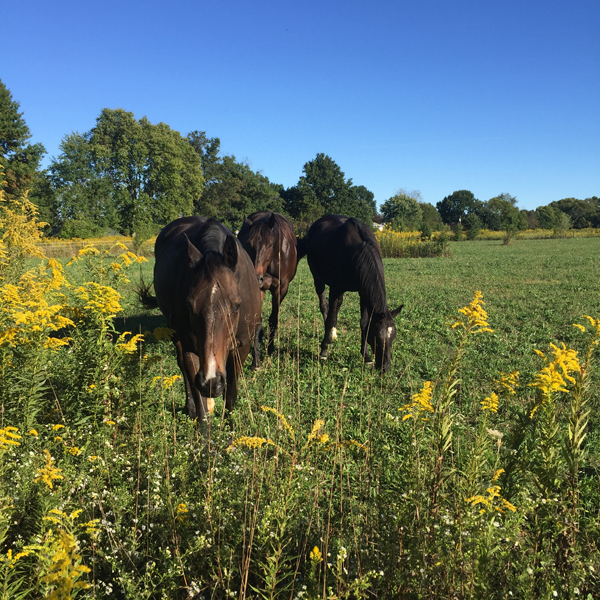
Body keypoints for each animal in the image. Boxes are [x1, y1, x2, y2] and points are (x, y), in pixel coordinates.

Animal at [237, 212, 298, 360]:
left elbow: (273, 318)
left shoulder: (281, 288)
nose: (257, 277)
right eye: (249, 244)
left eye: (270, 244)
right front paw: (256, 357)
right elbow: (257, 319)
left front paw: (270, 349)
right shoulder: (260, 288)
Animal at [296, 213, 404, 368]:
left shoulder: (363, 292)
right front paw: (323, 351)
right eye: (377, 336)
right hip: (318, 278)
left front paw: (366, 356)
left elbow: (364, 322)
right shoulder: (336, 289)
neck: (358, 251)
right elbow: (330, 318)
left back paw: (333, 333)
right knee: (325, 306)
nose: (386, 367)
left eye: (393, 336)